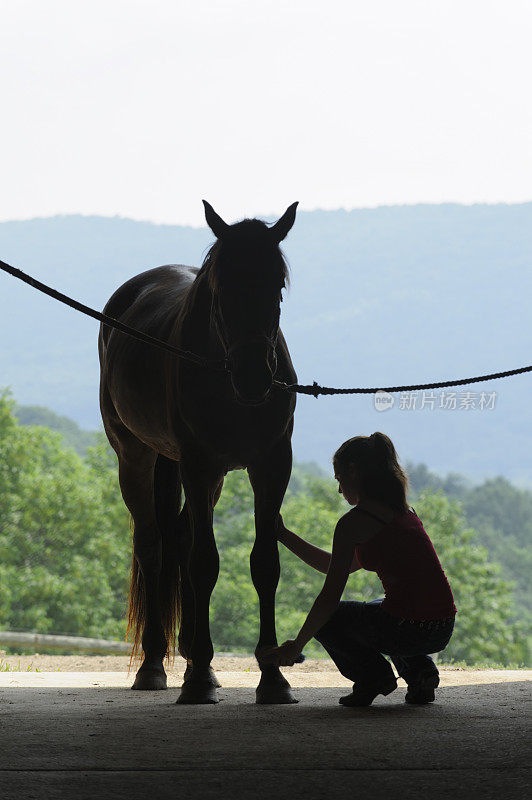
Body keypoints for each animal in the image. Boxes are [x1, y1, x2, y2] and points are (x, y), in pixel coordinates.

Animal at [98, 202, 300, 708]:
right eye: (221, 287)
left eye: (278, 283)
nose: (253, 377)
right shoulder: (197, 461)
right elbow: (204, 562)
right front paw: (195, 682)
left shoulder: (271, 465)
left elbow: (265, 564)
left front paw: (272, 677)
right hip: (136, 457)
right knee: (153, 546)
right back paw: (155, 664)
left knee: (181, 536)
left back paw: (194, 657)